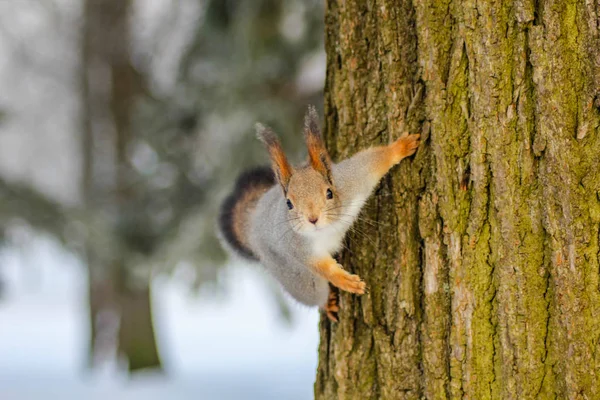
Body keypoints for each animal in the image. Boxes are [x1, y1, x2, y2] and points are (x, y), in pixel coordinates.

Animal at [218, 106, 420, 322]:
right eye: (289, 203)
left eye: (329, 192)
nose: (313, 219)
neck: (327, 229)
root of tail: (252, 221)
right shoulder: (297, 247)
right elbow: (322, 267)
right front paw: (346, 281)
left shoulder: (353, 181)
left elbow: (373, 162)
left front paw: (401, 147)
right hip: (294, 276)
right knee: (312, 291)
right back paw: (326, 303)